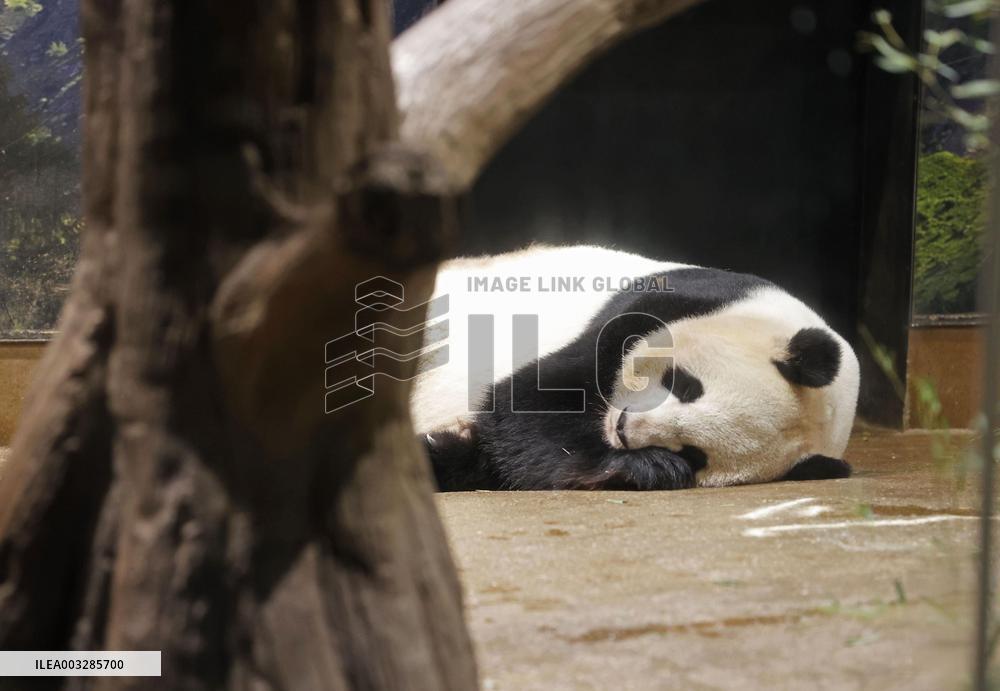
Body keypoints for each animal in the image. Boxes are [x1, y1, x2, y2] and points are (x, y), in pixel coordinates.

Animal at [411, 245, 860, 491]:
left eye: (695, 453)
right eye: (685, 385)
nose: (624, 428)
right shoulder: (658, 306)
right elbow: (524, 402)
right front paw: (641, 467)